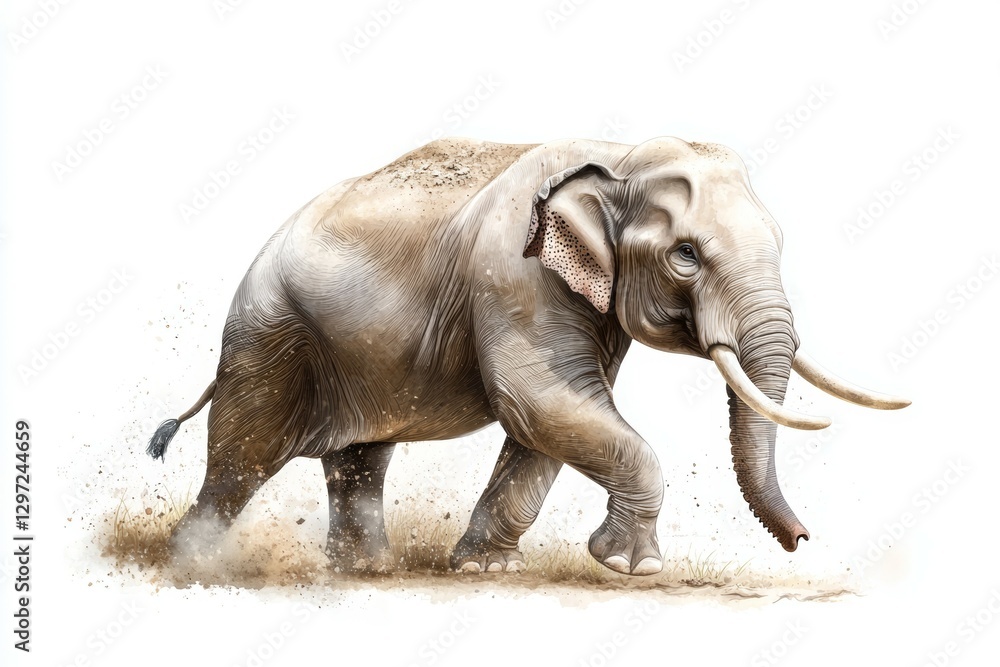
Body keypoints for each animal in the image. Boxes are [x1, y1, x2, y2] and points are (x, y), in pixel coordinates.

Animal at [147, 136, 909, 576]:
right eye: (686, 255)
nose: (803, 540)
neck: (620, 155)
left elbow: (550, 418)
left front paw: (485, 569)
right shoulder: (515, 271)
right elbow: (541, 397)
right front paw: (632, 567)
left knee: (360, 459)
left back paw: (365, 571)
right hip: (270, 337)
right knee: (243, 457)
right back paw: (195, 568)